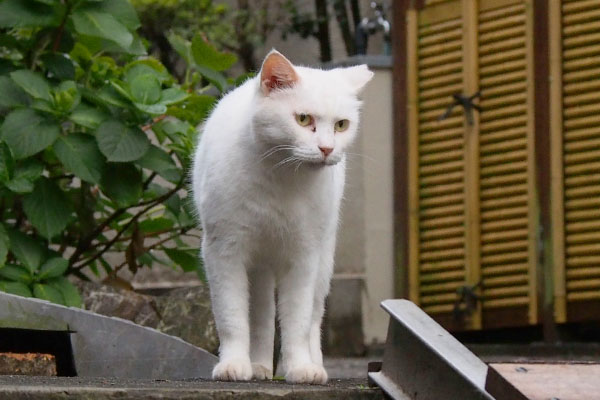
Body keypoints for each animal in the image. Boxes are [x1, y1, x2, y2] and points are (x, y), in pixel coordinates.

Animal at [192, 50, 372, 384]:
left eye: (341, 125)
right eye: (303, 119)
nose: (327, 148)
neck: (281, 176)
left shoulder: (303, 257)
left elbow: (297, 323)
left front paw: (300, 368)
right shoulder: (224, 251)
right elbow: (232, 317)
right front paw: (233, 365)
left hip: (323, 261)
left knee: (313, 318)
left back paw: (314, 365)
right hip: (258, 266)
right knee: (261, 316)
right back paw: (260, 366)